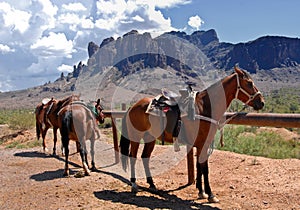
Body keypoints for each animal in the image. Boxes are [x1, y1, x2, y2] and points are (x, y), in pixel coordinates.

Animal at [119, 66, 264, 203]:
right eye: (249, 83)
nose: (261, 102)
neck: (203, 108)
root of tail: (132, 107)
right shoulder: (203, 145)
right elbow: (205, 168)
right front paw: (210, 195)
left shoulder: (200, 145)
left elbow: (199, 166)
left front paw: (201, 192)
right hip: (136, 137)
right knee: (133, 157)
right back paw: (134, 184)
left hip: (150, 138)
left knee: (145, 157)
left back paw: (152, 184)